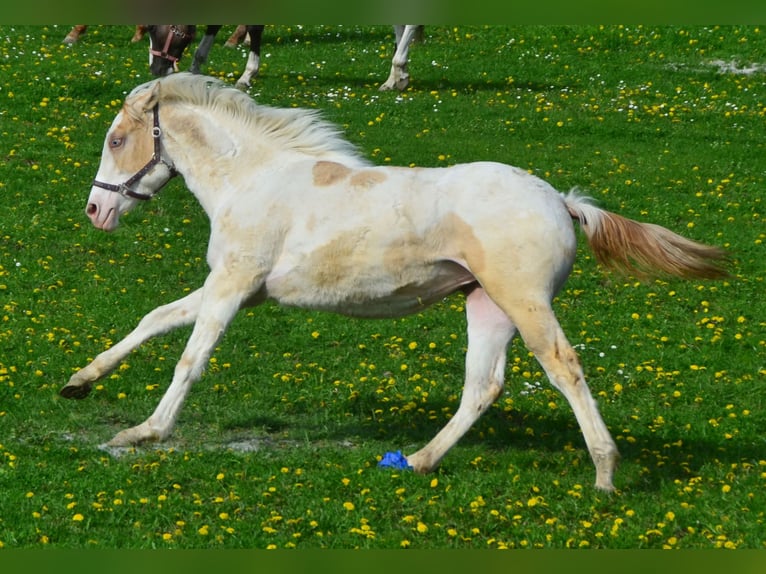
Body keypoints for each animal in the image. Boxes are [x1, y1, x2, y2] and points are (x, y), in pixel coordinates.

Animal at [63, 74, 728, 492]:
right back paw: (416, 460)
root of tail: (562, 202)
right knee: (482, 387)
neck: (252, 179)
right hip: (486, 306)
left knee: (564, 368)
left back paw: (605, 476)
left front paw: (143, 432)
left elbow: (190, 358)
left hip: (524, 303)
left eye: (117, 139)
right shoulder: (236, 286)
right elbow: (155, 319)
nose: (96, 211)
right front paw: (79, 383)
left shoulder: (231, 288)